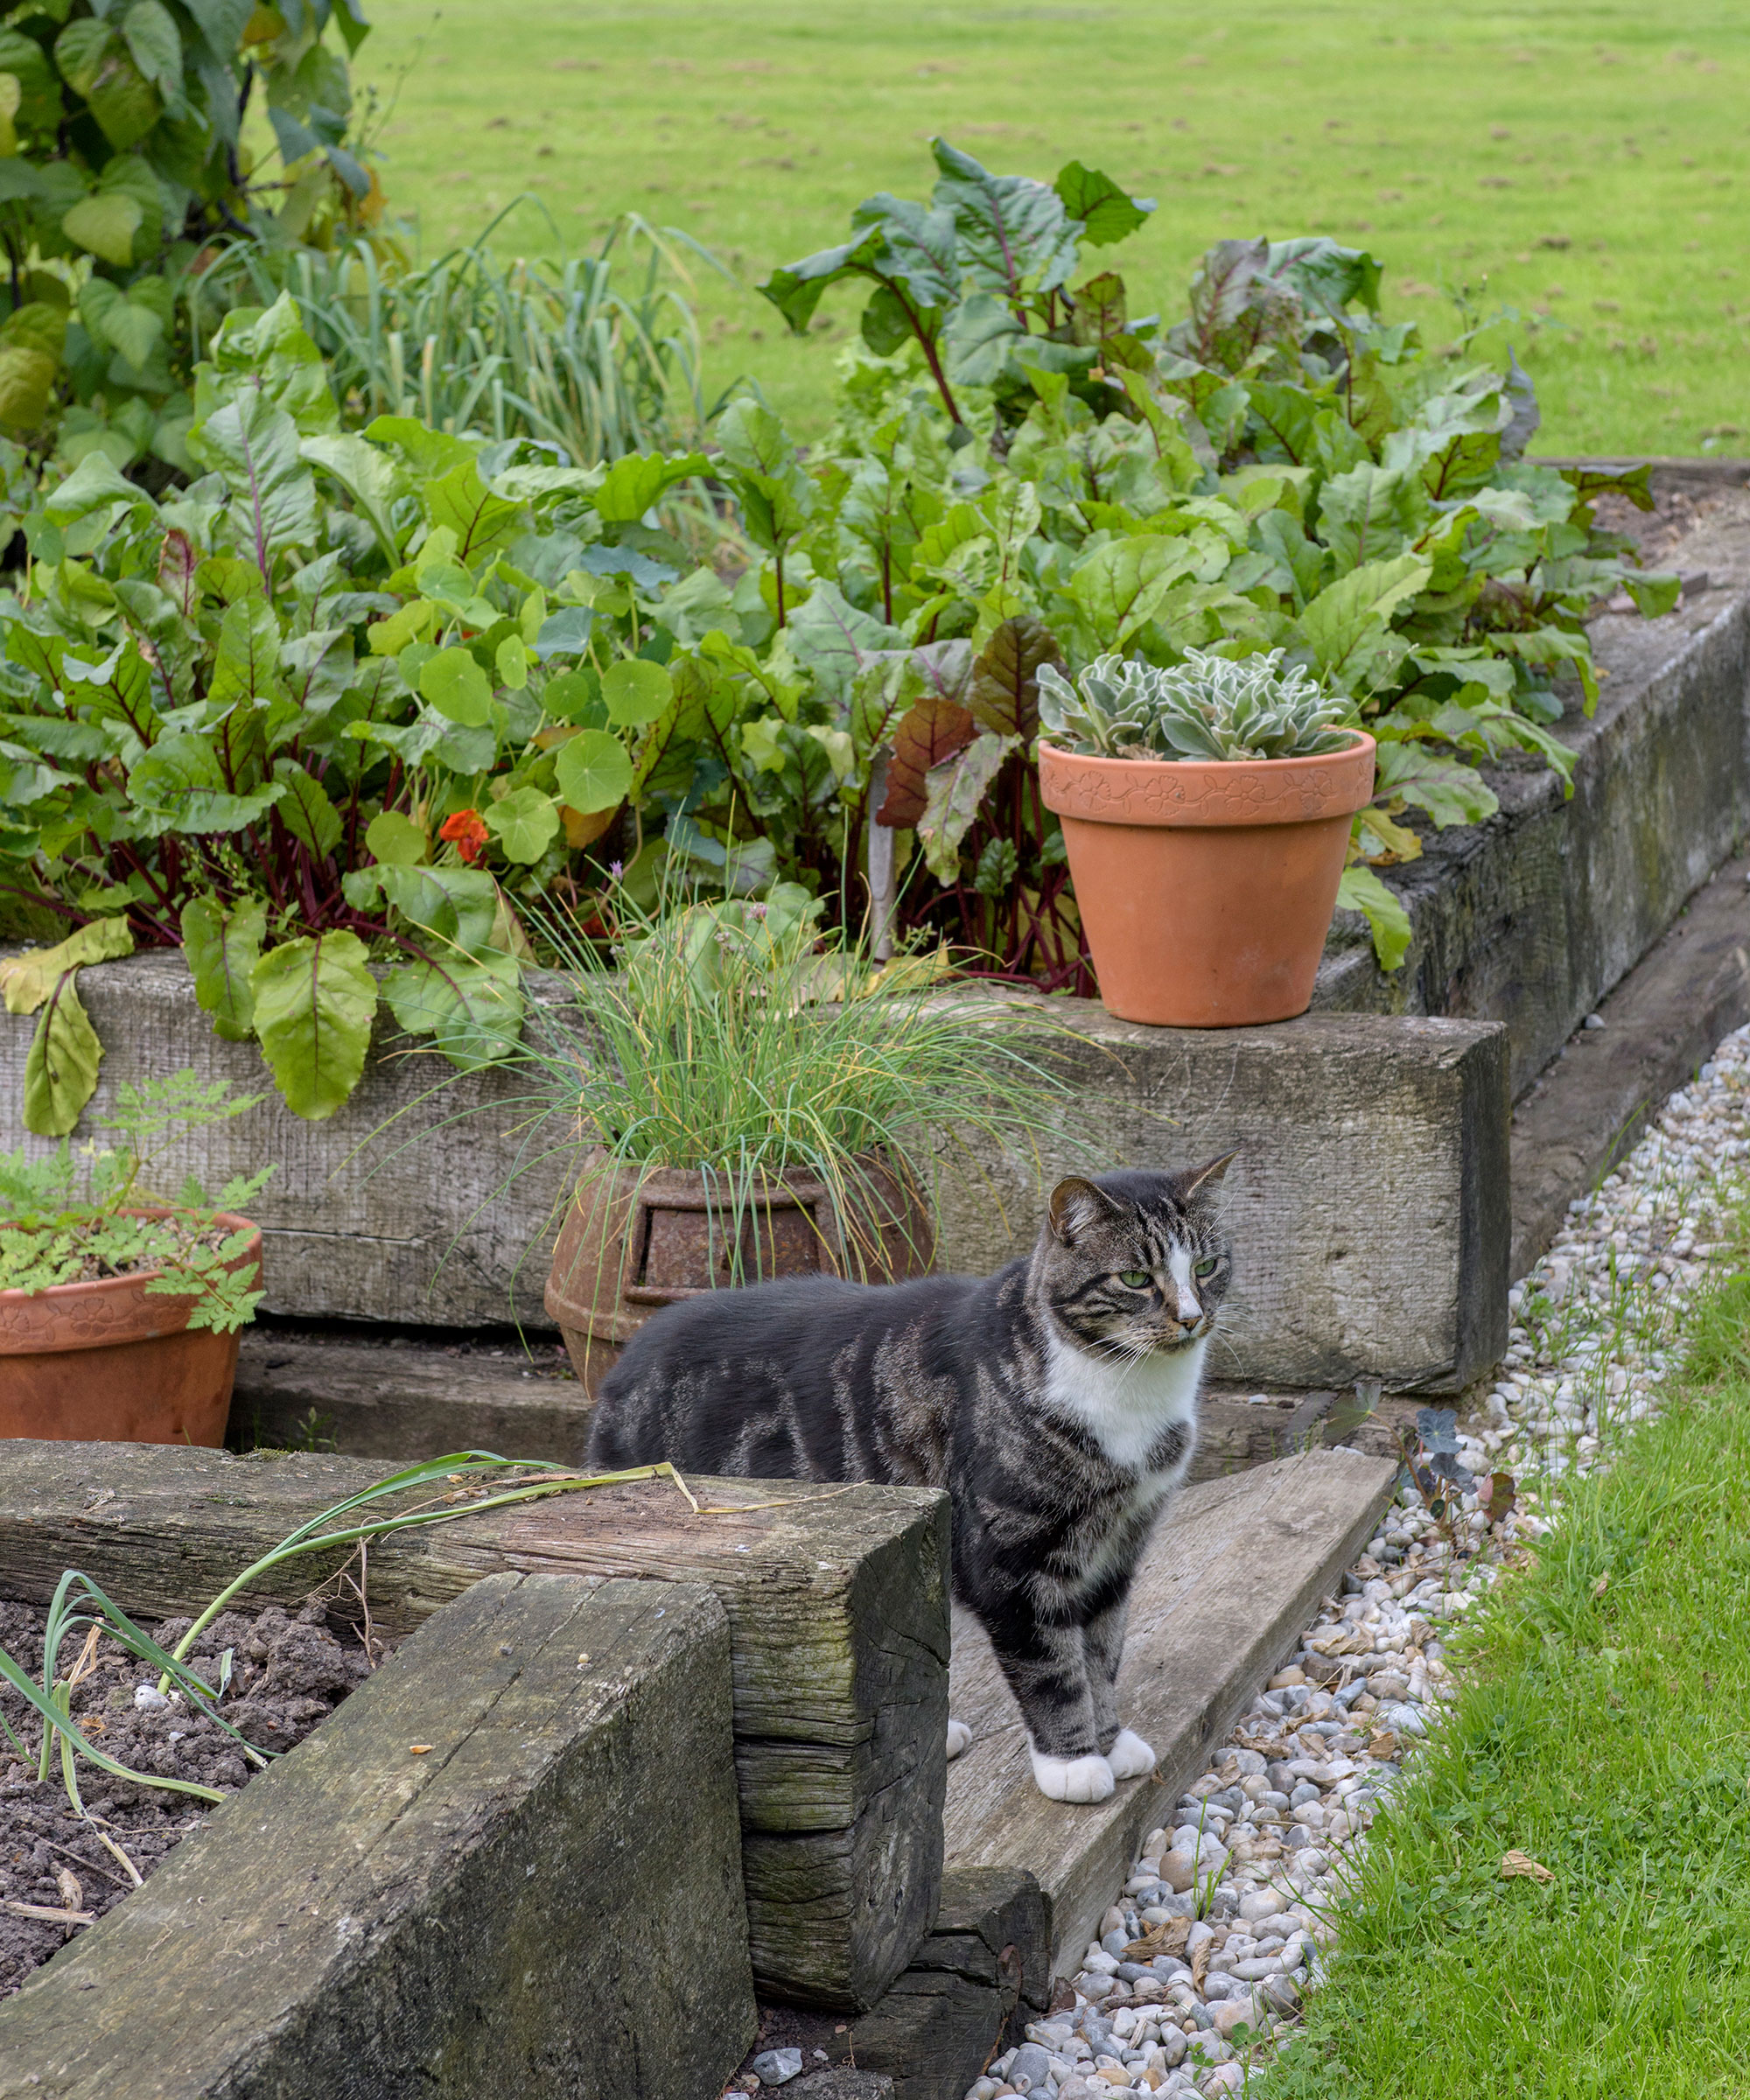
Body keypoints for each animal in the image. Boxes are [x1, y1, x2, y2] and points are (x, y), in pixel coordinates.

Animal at [584, 1158, 1227, 1797]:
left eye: (1207, 1267)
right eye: (1135, 1279)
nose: (1192, 1318)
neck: (1129, 1394)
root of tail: (619, 1369)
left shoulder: (1117, 1551)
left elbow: (1102, 1655)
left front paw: (1111, 1743)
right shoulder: (1011, 1561)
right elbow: (1052, 1667)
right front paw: (1073, 1763)